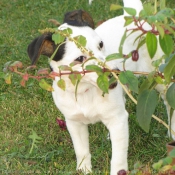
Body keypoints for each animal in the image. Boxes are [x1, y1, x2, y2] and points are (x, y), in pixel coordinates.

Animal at [27, 9, 129, 175]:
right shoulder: (74, 122)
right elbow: (81, 150)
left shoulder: (117, 119)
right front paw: (84, 169)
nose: (116, 72)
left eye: (101, 44)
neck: (84, 91)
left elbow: (118, 156)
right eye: (80, 58)